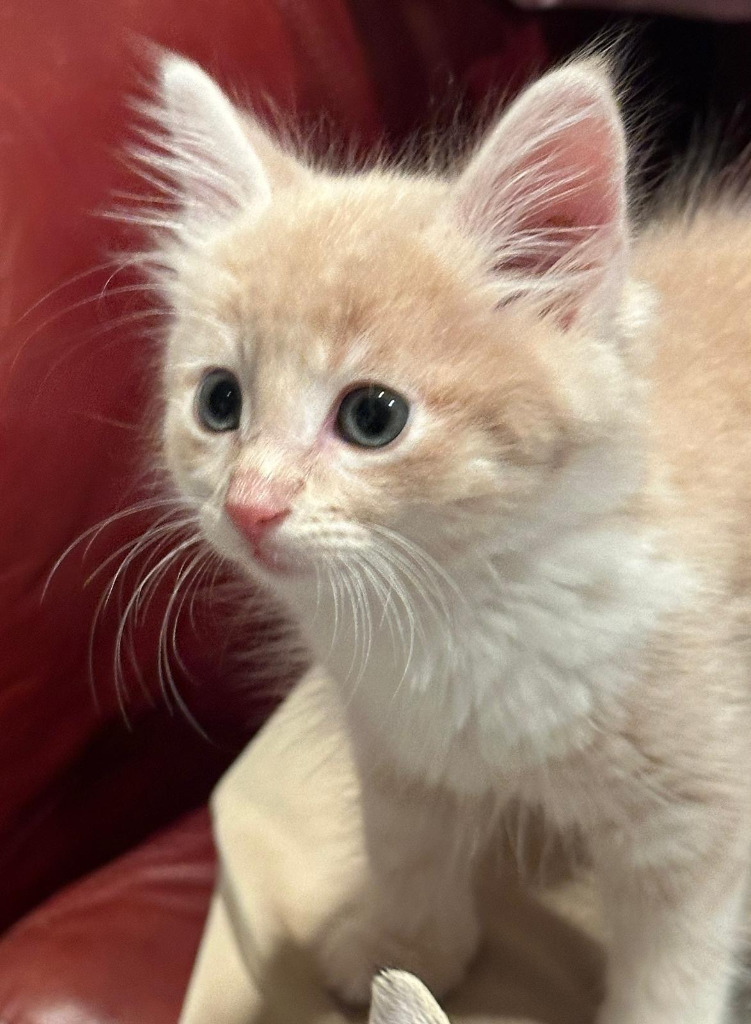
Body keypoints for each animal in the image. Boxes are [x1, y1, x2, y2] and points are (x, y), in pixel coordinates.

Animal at [149, 54, 749, 1024]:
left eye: (372, 417)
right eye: (218, 402)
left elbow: (672, 966)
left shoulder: (691, 812)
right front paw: (404, 950)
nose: (249, 506)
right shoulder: (394, 744)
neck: (463, 604)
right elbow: (407, 853)